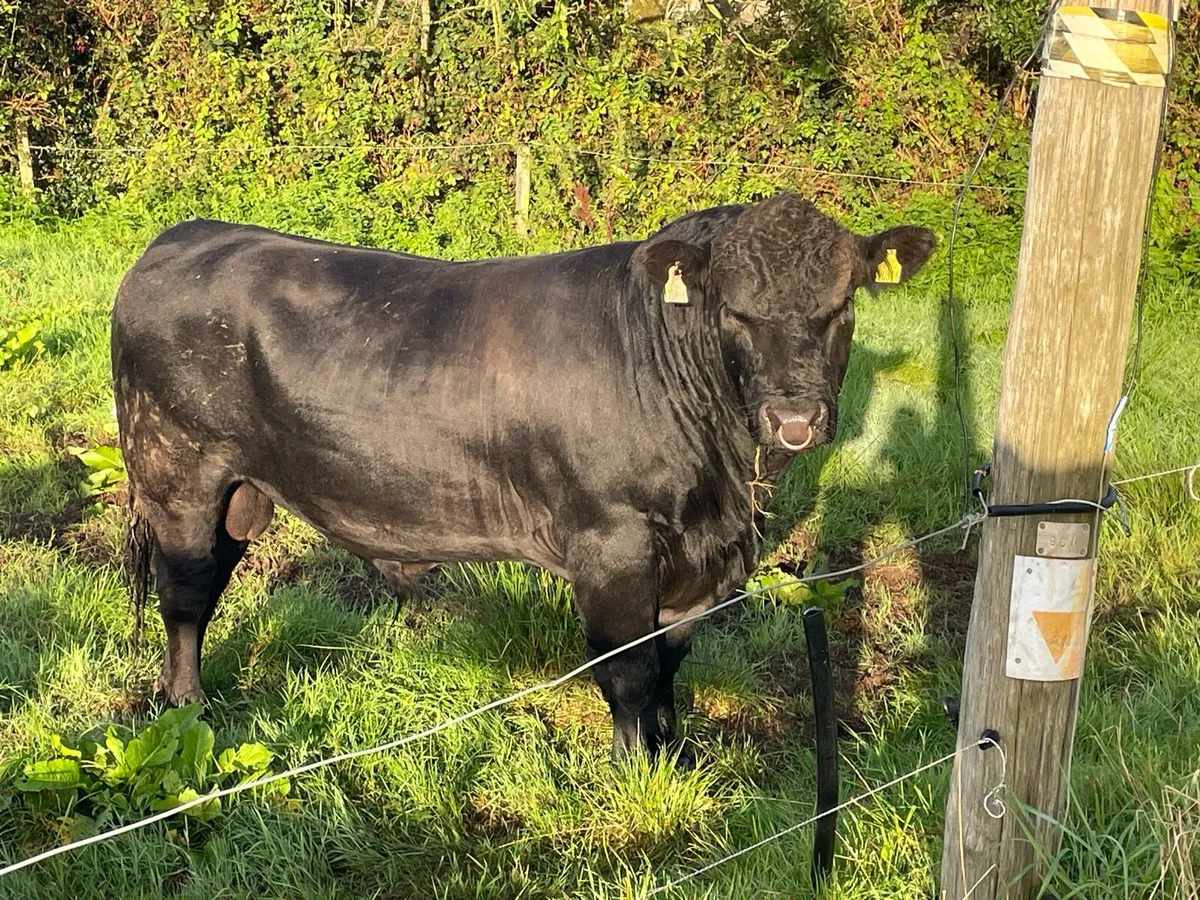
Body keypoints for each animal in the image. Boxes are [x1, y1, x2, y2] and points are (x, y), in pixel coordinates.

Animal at [112, 193, 935, 759]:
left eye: (842, 306)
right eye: (734, 311)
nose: (795, 418)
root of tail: (184, 233)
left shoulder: (700, 565)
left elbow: (670, 661)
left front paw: (675, 753)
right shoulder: (612, 546)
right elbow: (629, 670)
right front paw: (635, 772)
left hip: (238, 492)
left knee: (207, 584)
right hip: (178, 475)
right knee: (184, 596)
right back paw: (185, 708)